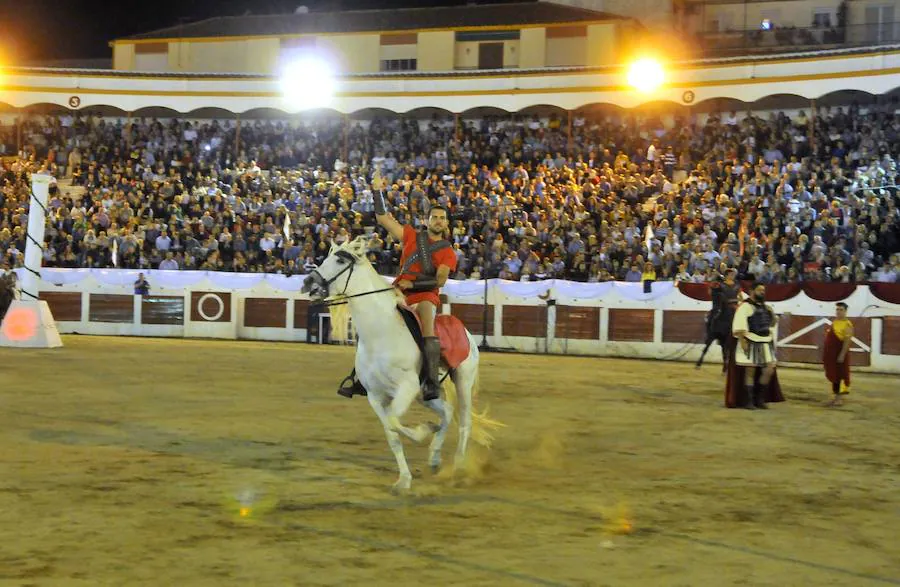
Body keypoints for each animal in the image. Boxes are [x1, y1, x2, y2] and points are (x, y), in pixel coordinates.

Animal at [300, 237, 500, 494]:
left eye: (341, 260)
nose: (308, 283)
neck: (380, 334)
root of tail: (464, 330)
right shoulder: (376, 396)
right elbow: (392, 433)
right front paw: (404, 479)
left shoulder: (406, 387)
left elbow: (395, 422)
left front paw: (424, 430)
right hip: (425, 394)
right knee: (446, 411)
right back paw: (435, 457)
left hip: (462, 380)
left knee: (464, 421)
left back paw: (457, 469)